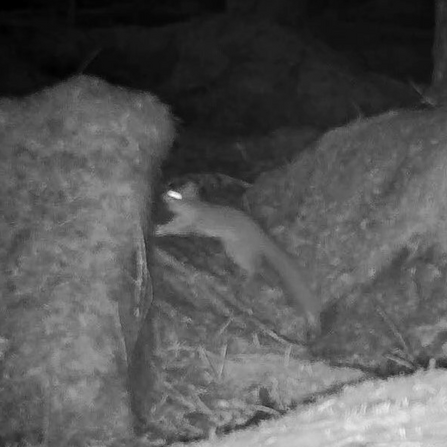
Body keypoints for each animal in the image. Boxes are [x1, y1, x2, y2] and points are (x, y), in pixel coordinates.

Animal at [156, 182, 320, 336]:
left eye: (172, 193)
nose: (162, 195)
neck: (193, 205)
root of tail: (260, 235)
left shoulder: (188, 222)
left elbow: (177, 229)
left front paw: (159, 229)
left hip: (237, 250)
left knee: (255, 265)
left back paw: (246, 280)